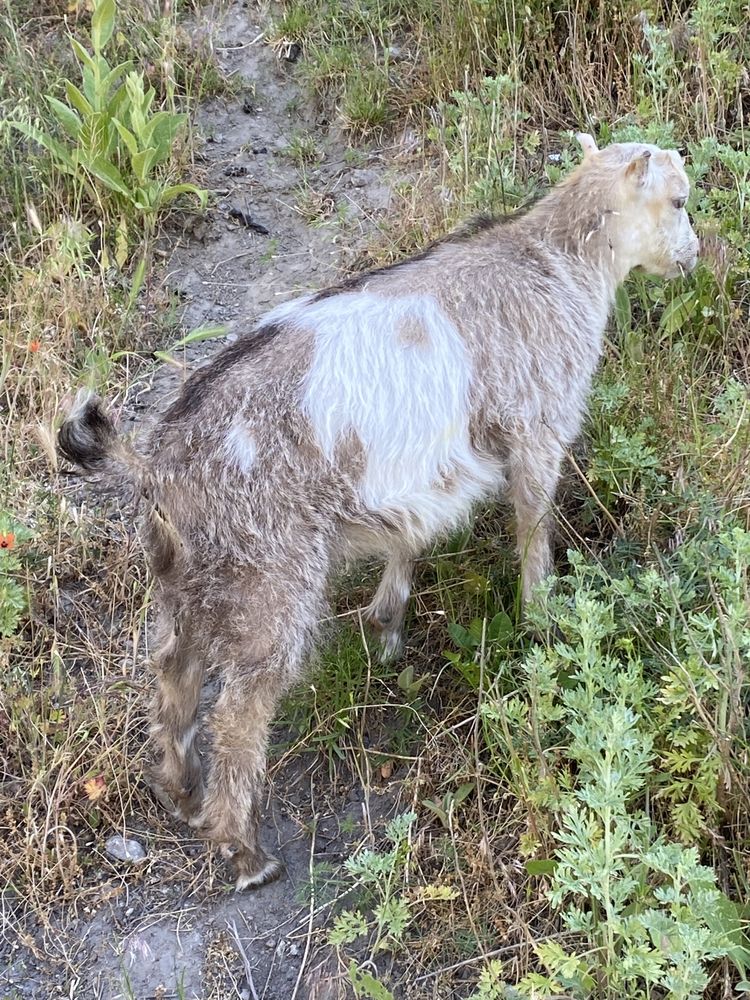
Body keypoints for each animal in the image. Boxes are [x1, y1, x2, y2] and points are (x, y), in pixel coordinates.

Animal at [57, 135, 700, 892]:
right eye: (679, 201)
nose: (693, 255)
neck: (554, 262)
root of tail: (156, 464)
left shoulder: (416, 479)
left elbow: (408, 539)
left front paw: (388, 626)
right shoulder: (538, 428)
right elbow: (534, 524)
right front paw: (543, 618)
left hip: (184, 577)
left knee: (173, 672)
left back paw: (181, 792)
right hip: (270, 577)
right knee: (239, 709)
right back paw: (244, 853)